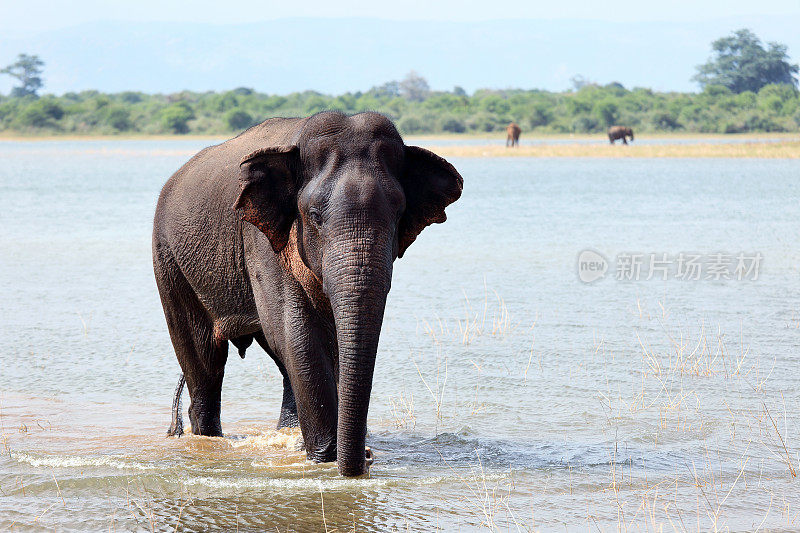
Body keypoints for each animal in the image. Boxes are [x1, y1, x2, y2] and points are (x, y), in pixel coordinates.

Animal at [153, 110, 462, 476]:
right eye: (315, 216)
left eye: (399, 214)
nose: (368, 457)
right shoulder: (260, 239)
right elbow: (299, 334)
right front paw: (325, 459)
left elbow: (319, 342)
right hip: (169, 261)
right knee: (205, 361)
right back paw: (209, 438)